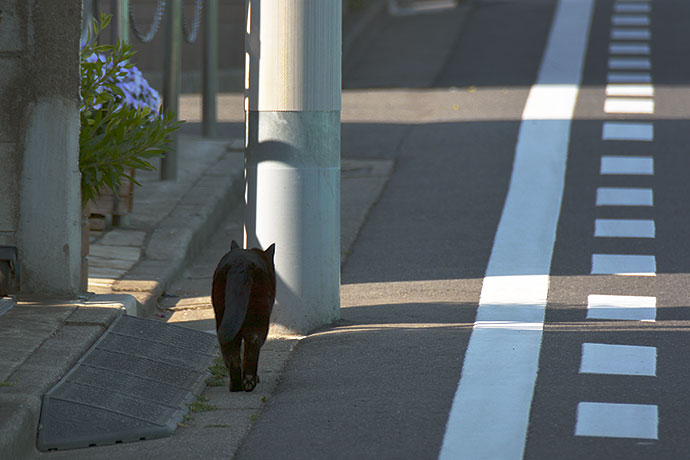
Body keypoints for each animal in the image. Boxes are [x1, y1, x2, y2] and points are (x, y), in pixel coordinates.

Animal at [211, 241, 276, 392]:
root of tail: (242, 264)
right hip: (259, 317)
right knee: (253, 344)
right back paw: (248, 382)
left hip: (223, 315)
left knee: (232, 351)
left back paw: (236, 385)